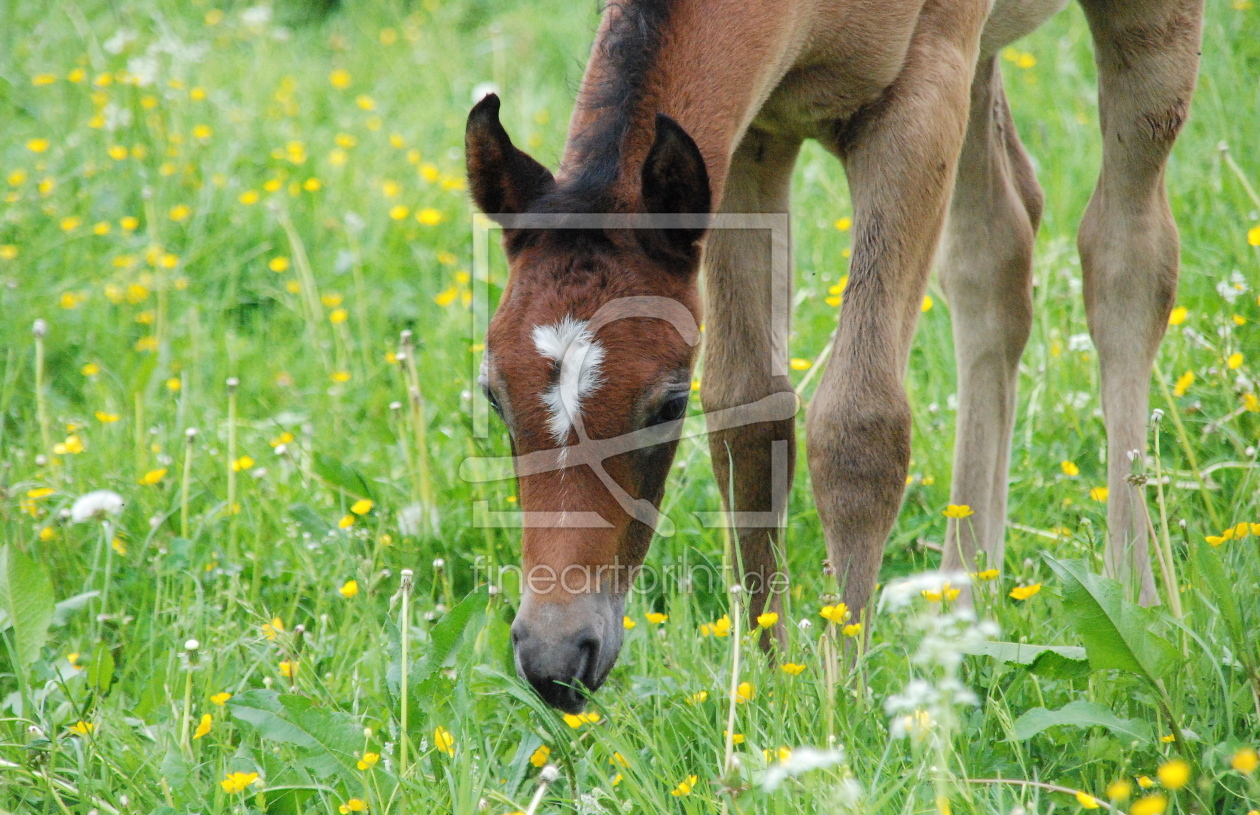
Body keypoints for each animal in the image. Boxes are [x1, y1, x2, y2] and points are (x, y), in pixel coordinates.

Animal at [463, 0, 1199, 715]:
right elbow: (746, 413)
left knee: (1127, 256)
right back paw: (965, 613)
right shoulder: (751, 136)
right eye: (494, 395)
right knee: (995, 253)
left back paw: (1135, 602)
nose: (555, 656)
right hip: (980, 62)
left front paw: (841, 694)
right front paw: (769, 680)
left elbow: (860, 423)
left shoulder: (921, 101)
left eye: (665, 404)